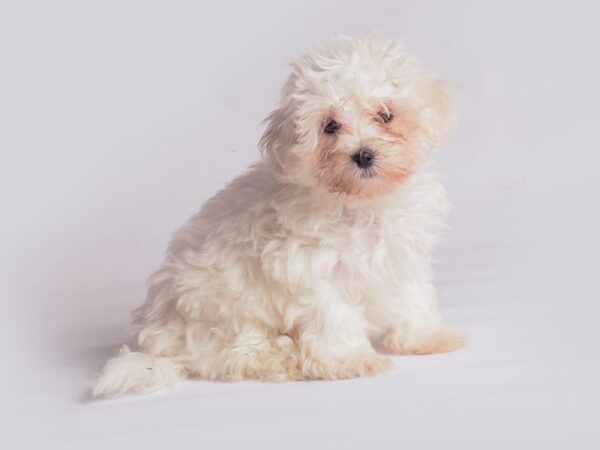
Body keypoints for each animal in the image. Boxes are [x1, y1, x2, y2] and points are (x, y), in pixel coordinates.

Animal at [95, 35, 468, 398]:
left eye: (386, 114)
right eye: (330, 126)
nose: (363, 155)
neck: (365, 205)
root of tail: (157, 342)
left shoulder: (404, 254)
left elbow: (414, 298)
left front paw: (427, 338)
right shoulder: (312, 268)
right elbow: (335, 315)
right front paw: (351, 359)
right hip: (221, 310)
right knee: (233, 356)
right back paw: (286, 357)